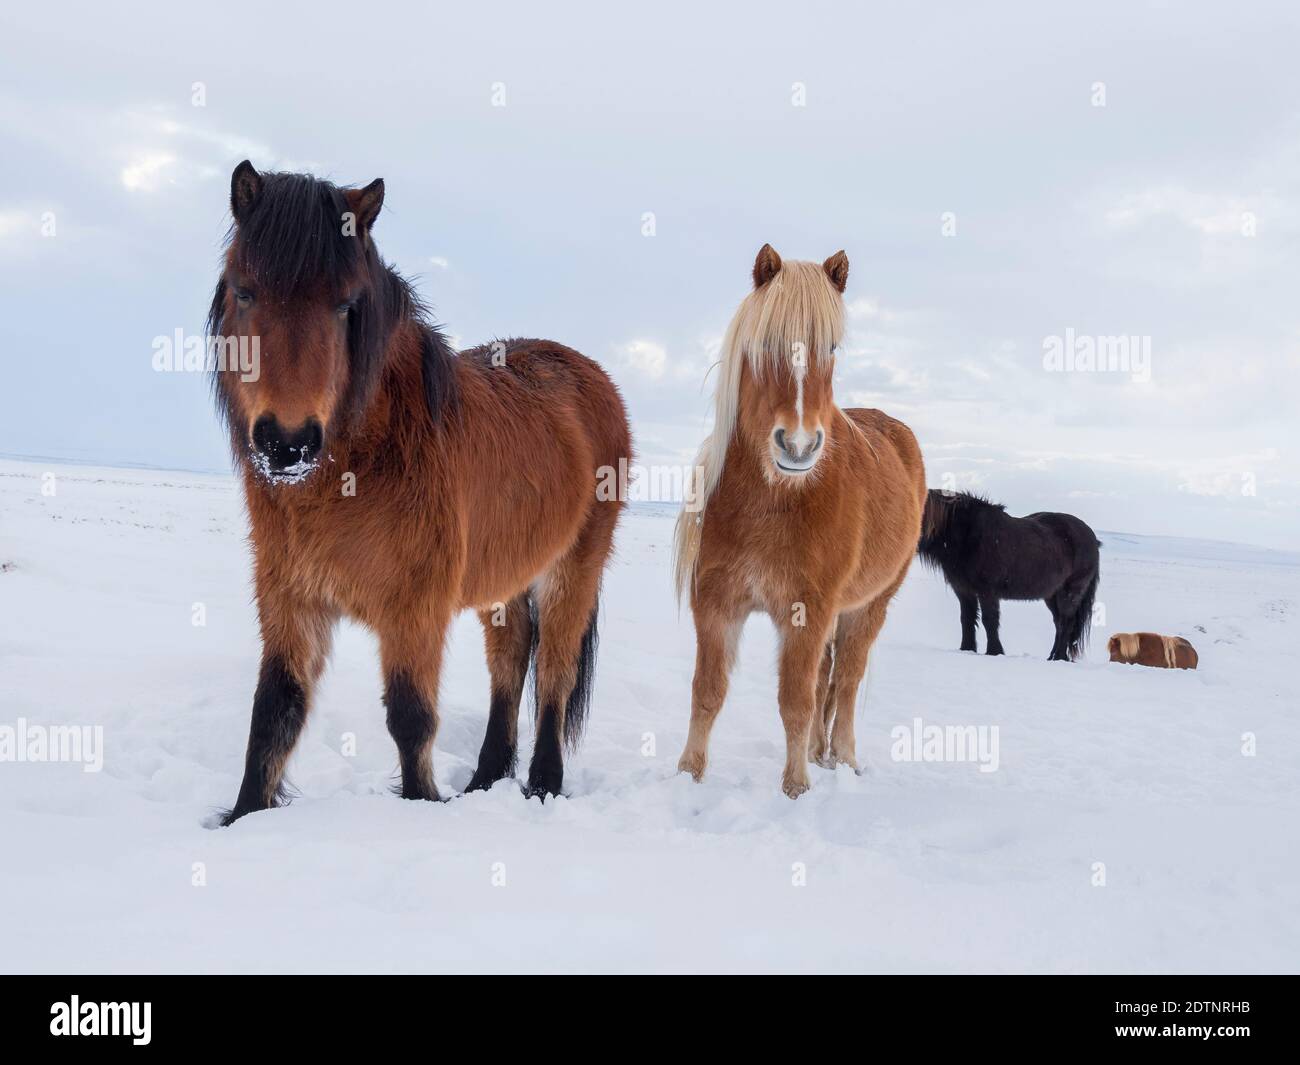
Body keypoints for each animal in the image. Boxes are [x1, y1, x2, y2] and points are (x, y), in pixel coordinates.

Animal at [207, 161, 631, 823]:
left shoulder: (416, 609)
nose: (286, 444)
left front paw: (421, 805)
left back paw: (541, 784)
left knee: (555, 675)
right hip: (504, 581)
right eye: (244, 291)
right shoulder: (290, 598)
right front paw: (246, 816)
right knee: (512, 660)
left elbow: (410, 717)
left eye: (347, 305)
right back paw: (485, 780)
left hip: (574, 569)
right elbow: (274, 712)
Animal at [672, 244, 927, 798]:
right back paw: (818, 752)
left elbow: (796, 700)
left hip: (869, 607)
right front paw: (687, 774)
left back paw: (844, 758)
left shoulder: (806, 612)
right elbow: (707, 691)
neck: (773, 501)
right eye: (765, 342)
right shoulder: (716, 605)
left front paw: (795, 788)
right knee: (828, 676)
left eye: (831, 346)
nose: (799, 446)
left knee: (846, 680)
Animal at [917, 490, 1100, 661]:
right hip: (1051, 595)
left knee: (1066, 622)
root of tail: (1092, 537)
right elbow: (967, 619)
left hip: (1071, 591)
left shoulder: (987, 591)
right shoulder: (963, 591)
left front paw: (994, 651)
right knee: (1059, 623)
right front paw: (966, 649)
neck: (968, 535)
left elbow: (989, 620)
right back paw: (1052, 656)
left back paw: (1060, 657)